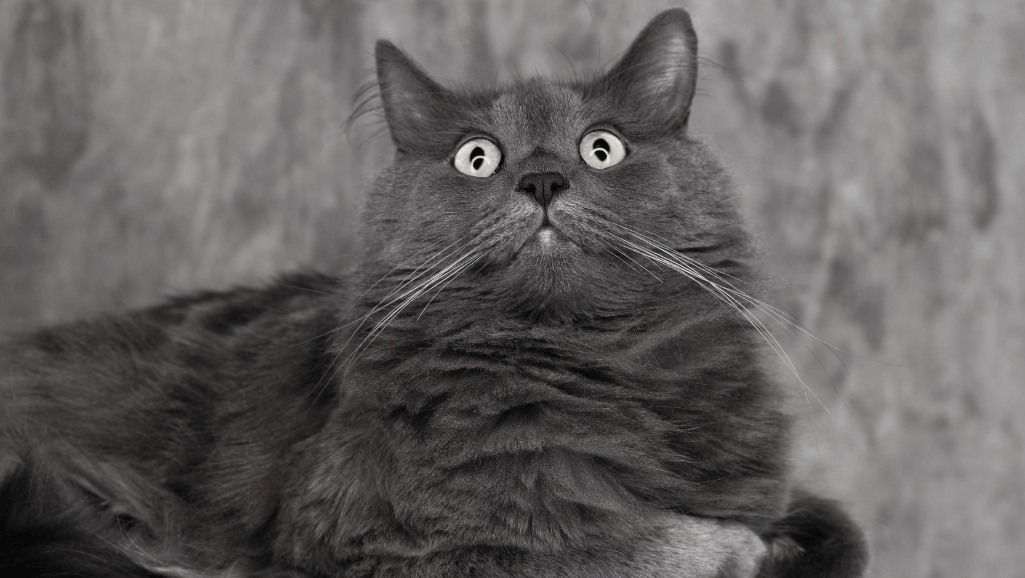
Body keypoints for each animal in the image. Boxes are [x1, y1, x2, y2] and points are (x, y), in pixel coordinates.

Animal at [0, 9, 869, 578]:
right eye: (476, 158)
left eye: (602, 148)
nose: (541, 181)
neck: (593, 369)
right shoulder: (389, 535)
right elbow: (618, 540)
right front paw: (742, 550)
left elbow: (839, 530)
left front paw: (782, 544)